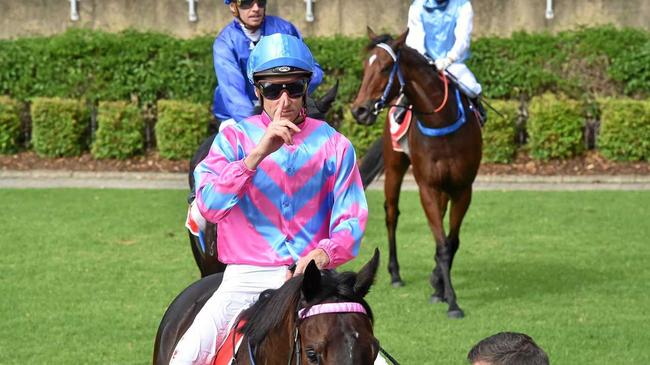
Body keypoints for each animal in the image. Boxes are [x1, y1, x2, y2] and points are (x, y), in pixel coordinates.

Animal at [350, 29, 480, 318]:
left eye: (385, 67)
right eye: (364, 66)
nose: (359, 110)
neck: (442, 123)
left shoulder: (462, 188)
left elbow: (450, 242)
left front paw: (440, 288)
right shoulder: (427, 187)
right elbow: (442, 244)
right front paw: (451, 300)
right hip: (395, 165)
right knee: (391, 215)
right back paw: (395, 274)